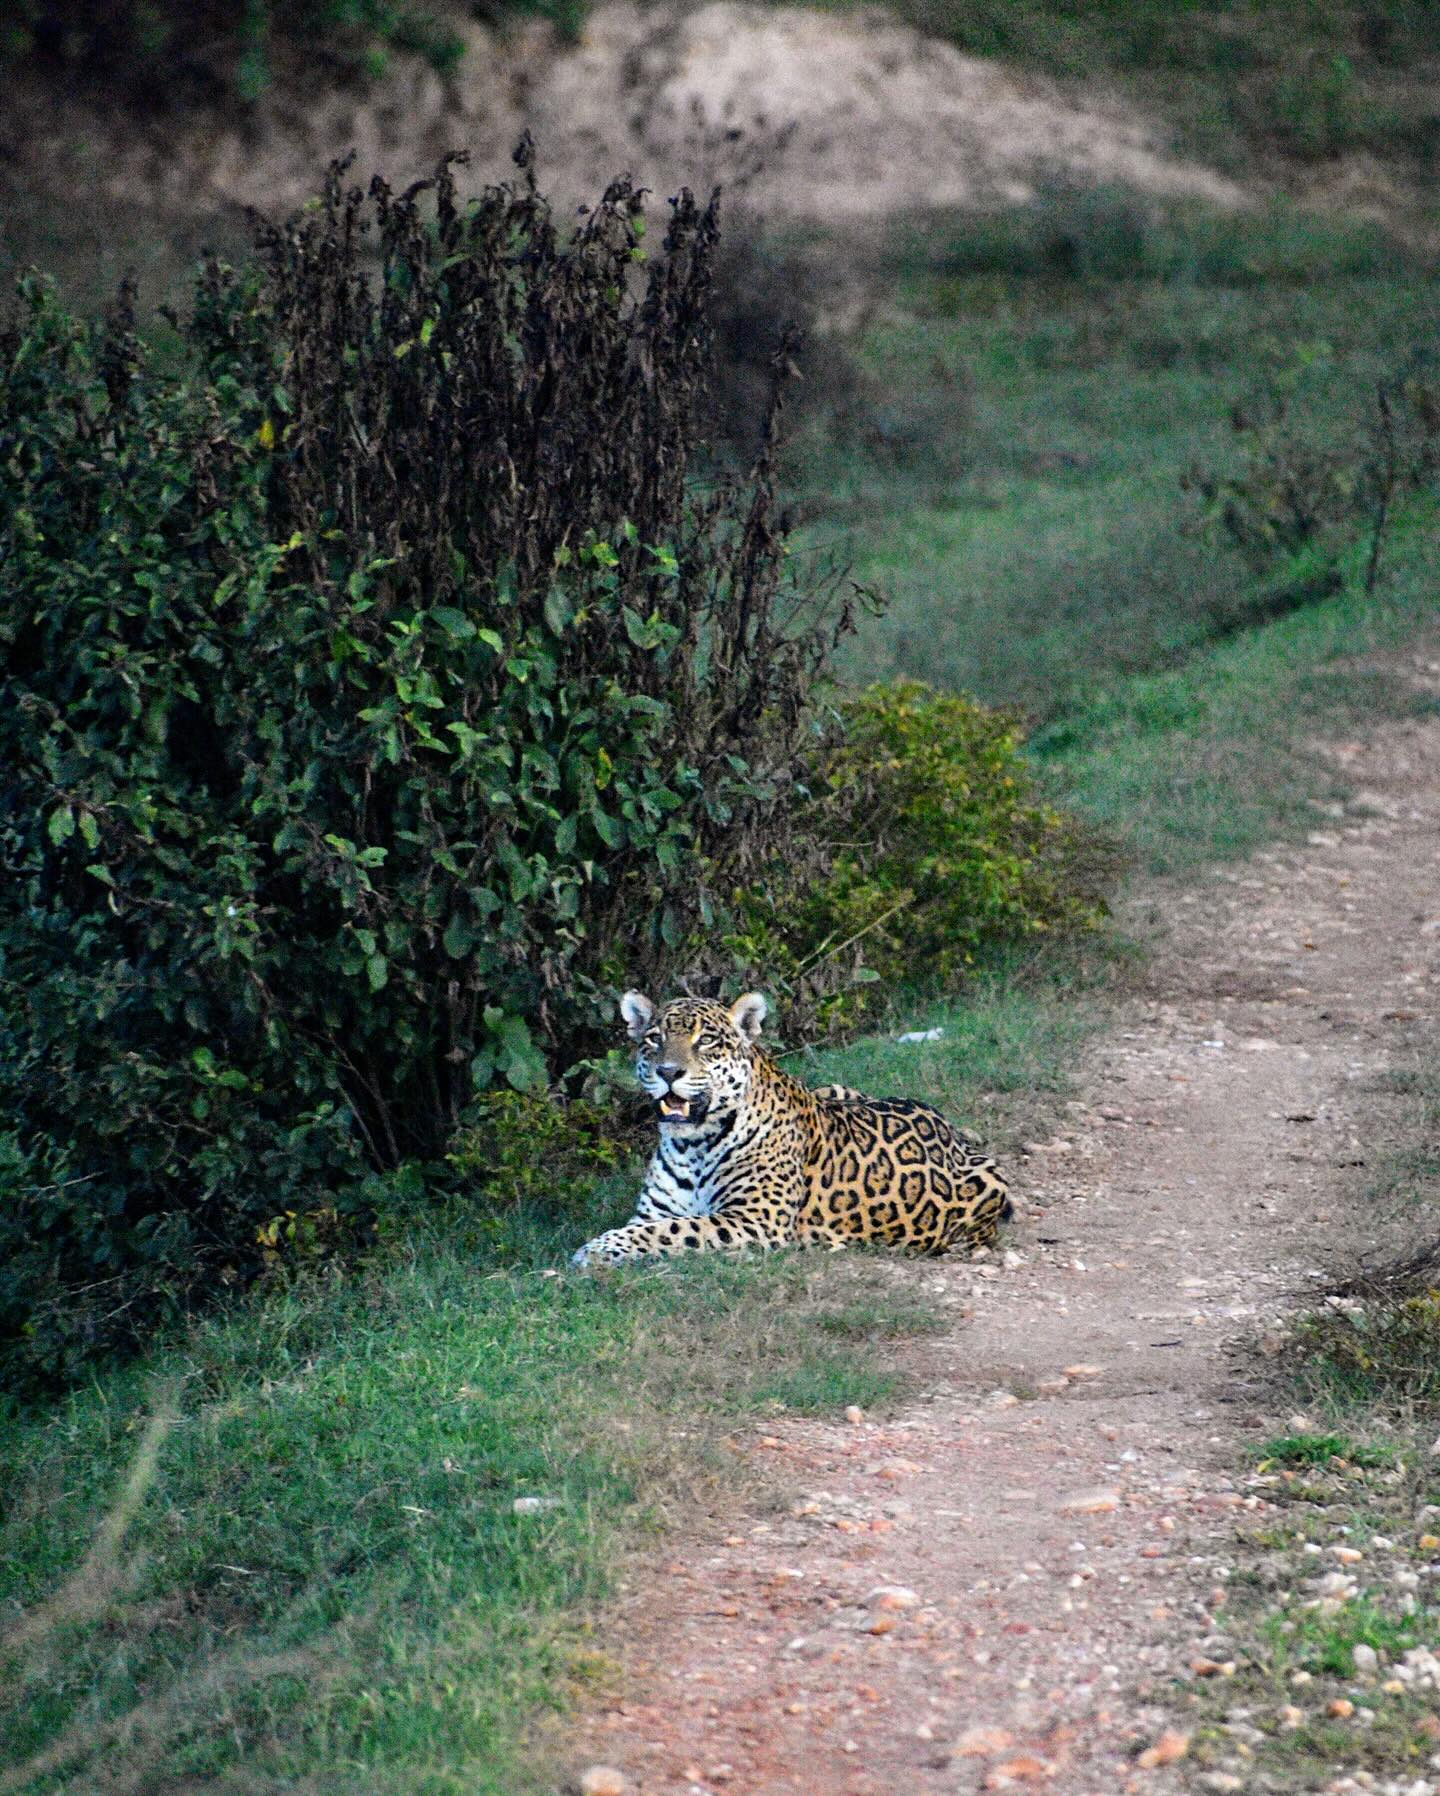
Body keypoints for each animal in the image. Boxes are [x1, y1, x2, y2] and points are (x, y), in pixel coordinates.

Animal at [570, 989, 1011, 1267]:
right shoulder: (651, 1212)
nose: (667, 1072)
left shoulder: (753, 1219)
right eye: (654, 1039)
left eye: (707, 1041)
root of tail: (949, 1127)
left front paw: (591, 1250)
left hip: (988, 1183)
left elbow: (673, 1231)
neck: (691, 1144)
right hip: (834, 1087)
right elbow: (652, 1228)